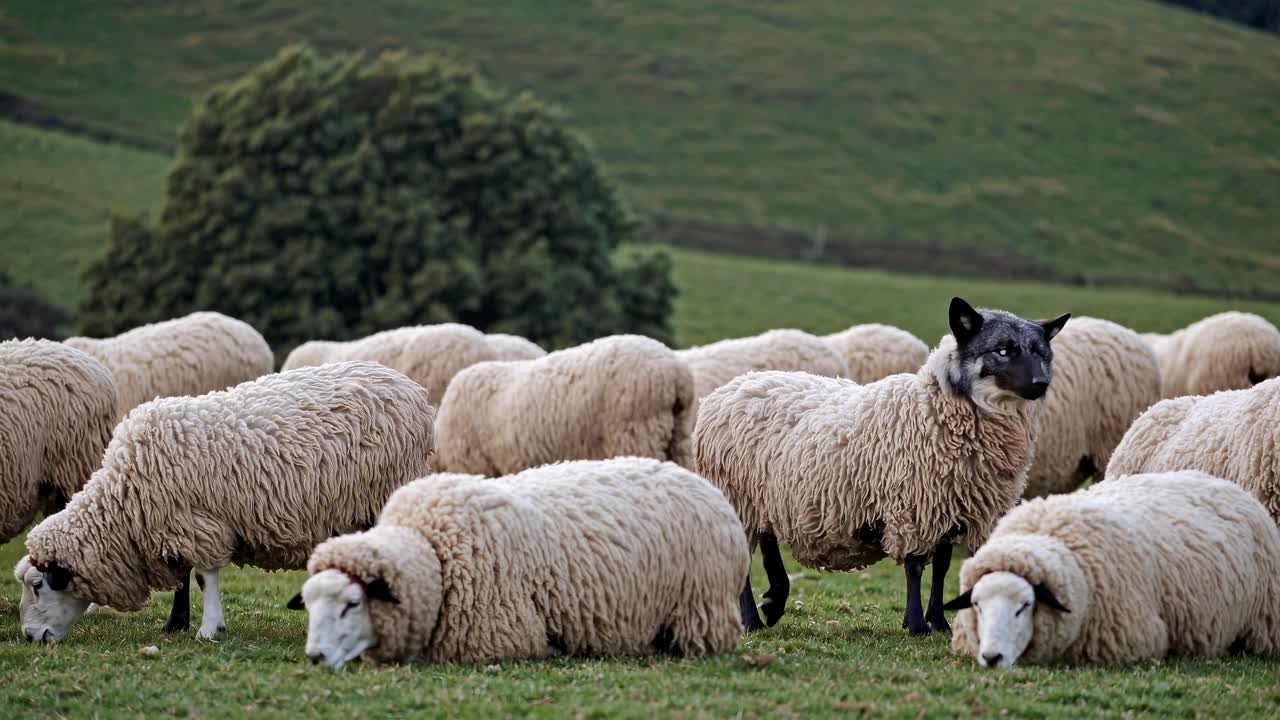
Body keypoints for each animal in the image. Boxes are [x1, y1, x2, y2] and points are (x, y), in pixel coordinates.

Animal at [14, 361, 436, 644]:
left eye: (38, 586)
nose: (32, 637)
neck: (126, 502)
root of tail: (412, 390)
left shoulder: (199, 523)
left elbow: (203, 575)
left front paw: (207, 628)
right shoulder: (174, 524)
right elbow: (183, 577)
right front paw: (176, 624)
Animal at [285, 457, 749, 669]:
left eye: (351, 604)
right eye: (309, 606)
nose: (315, 657)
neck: (433, 553)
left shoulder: (502, 636)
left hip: (699, 606)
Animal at [695, 297, 1069, 637]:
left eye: (1042, 352)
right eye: (1002, 350)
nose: (1040, 384)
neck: (935, 410)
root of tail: (734, 386)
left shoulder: (950, 503)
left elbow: (942, 566)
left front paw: (939, 622)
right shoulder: (916, 502)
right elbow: (916, 566)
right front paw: (917, 625)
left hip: (766, 494)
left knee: (768, 539)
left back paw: (774, 600)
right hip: (736, 493)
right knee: (746, 559)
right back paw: (753, 620)